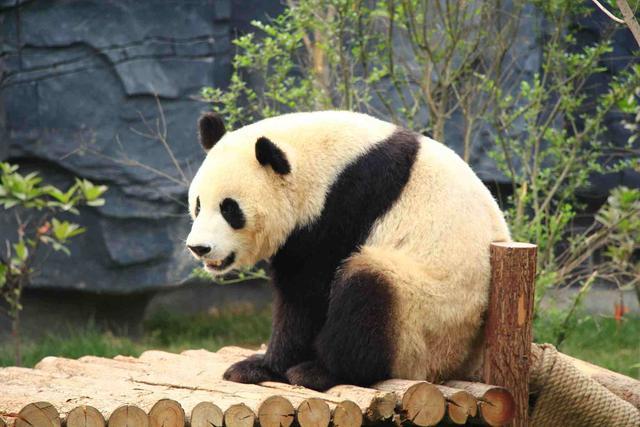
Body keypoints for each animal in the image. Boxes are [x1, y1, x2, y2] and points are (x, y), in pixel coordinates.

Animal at [185, 110, 510, 392]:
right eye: (198, 205)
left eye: (230, 209)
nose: (199, 248)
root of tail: (456, 365)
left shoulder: (346, 204)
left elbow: (307, 295)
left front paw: (260, 366)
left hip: (428, 315)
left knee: (367, 293)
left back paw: (320, 371)